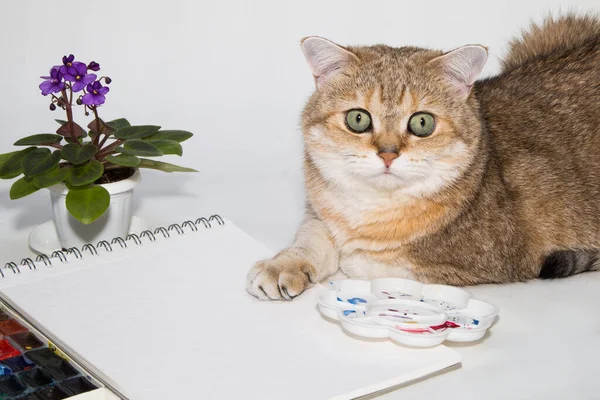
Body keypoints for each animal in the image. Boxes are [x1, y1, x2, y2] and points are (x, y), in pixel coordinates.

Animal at [245, 13, 600, 300]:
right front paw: (284, 265)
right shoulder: (320, 213)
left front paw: (351, 257)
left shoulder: (490, 261)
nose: (387, 155)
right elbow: (312, 239)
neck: (371, 211)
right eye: (358, 119)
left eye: (422, 123)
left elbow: (374, 262)